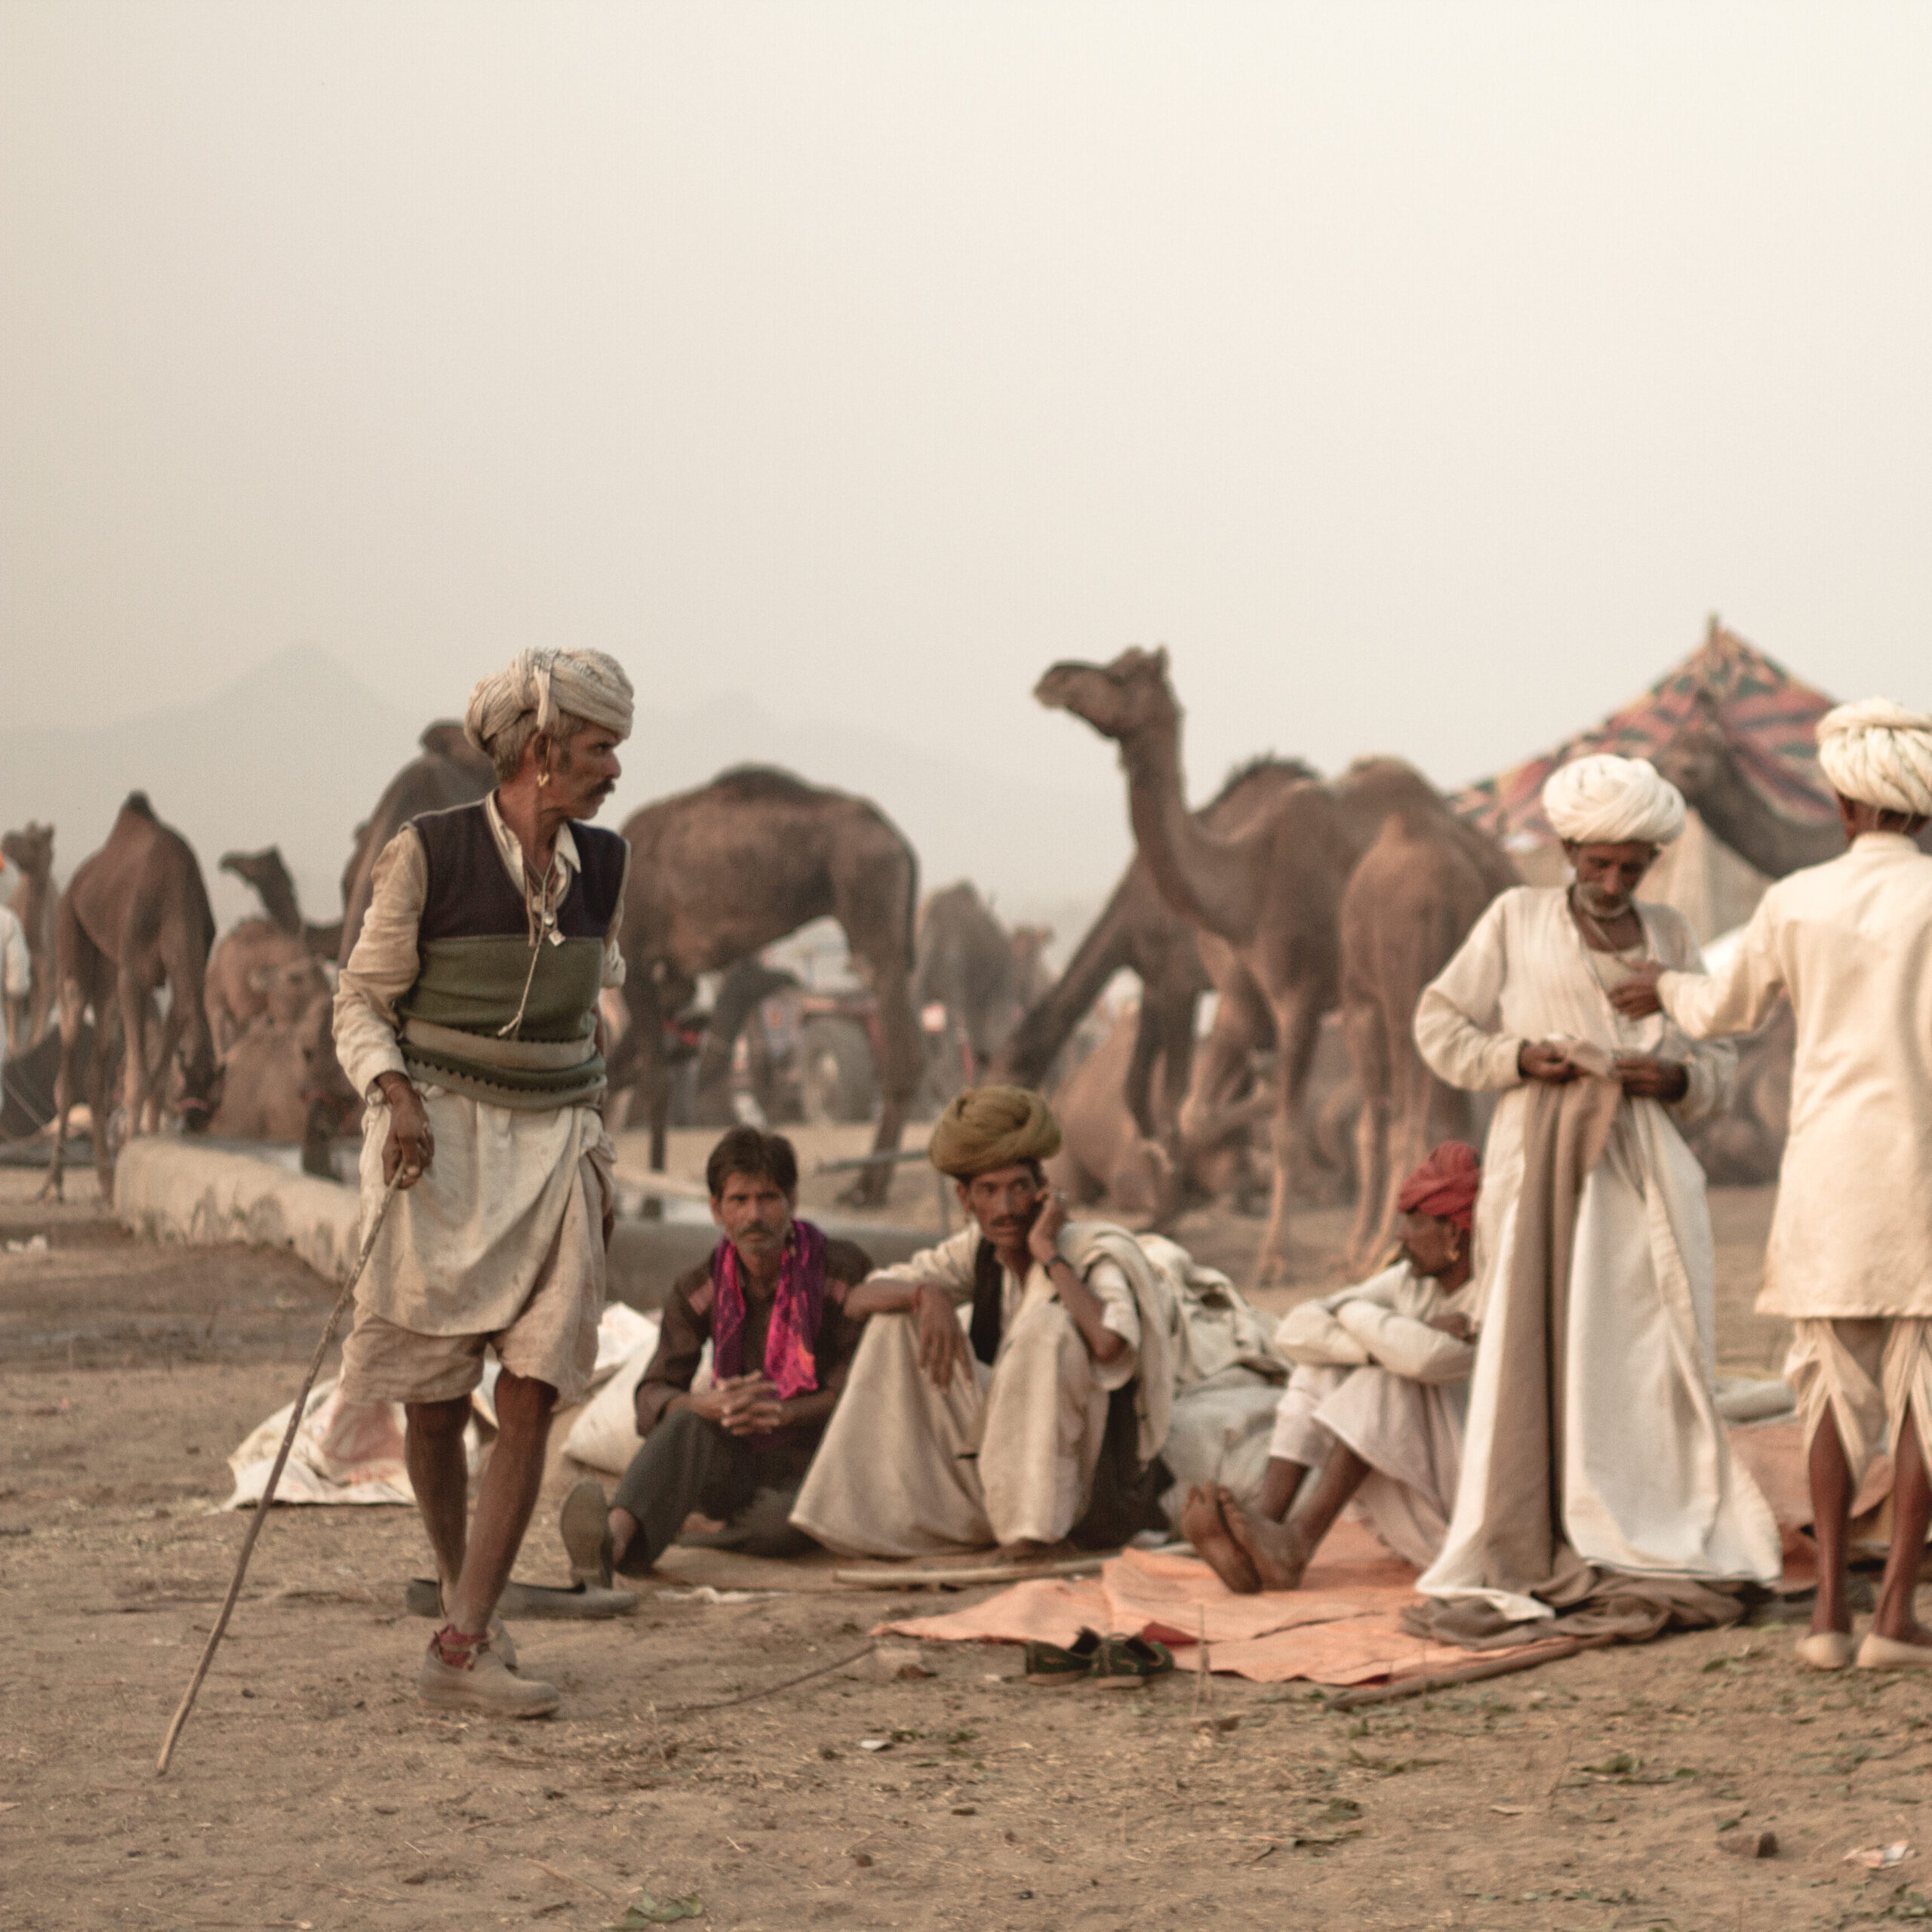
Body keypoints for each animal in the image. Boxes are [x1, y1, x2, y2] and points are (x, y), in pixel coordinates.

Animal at [42, 795, 221, 1189]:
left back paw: (108, 1184)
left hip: (107, 974)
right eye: (189, 1106)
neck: (177, 901)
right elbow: (138, 1076)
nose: (197, 1130)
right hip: (71, 937)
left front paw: (146, 1148)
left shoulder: (185, 980)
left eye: (216, 1103)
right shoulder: (133, 975)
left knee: (95, 1073)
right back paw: (53, 1183)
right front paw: (132, 1149)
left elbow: (158, 1074)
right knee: (67, 1073)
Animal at [614, 764, 923, 1189]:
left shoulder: (634, 949)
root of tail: (898, 842)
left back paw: (865, 1188)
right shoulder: (676, 975)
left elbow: (654, 1079)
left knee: (896, 1052)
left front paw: (653, 1181)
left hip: (872, 912)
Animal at [1035, 653, 1515, 1282]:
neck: (1245, 881)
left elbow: (1286, 1128)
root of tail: (1501, 859)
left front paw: (1274, 1256)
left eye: (1121, 674)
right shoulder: (1240, 1002)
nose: (1054, 679)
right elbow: (1195, 1112)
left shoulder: (1299, 999)